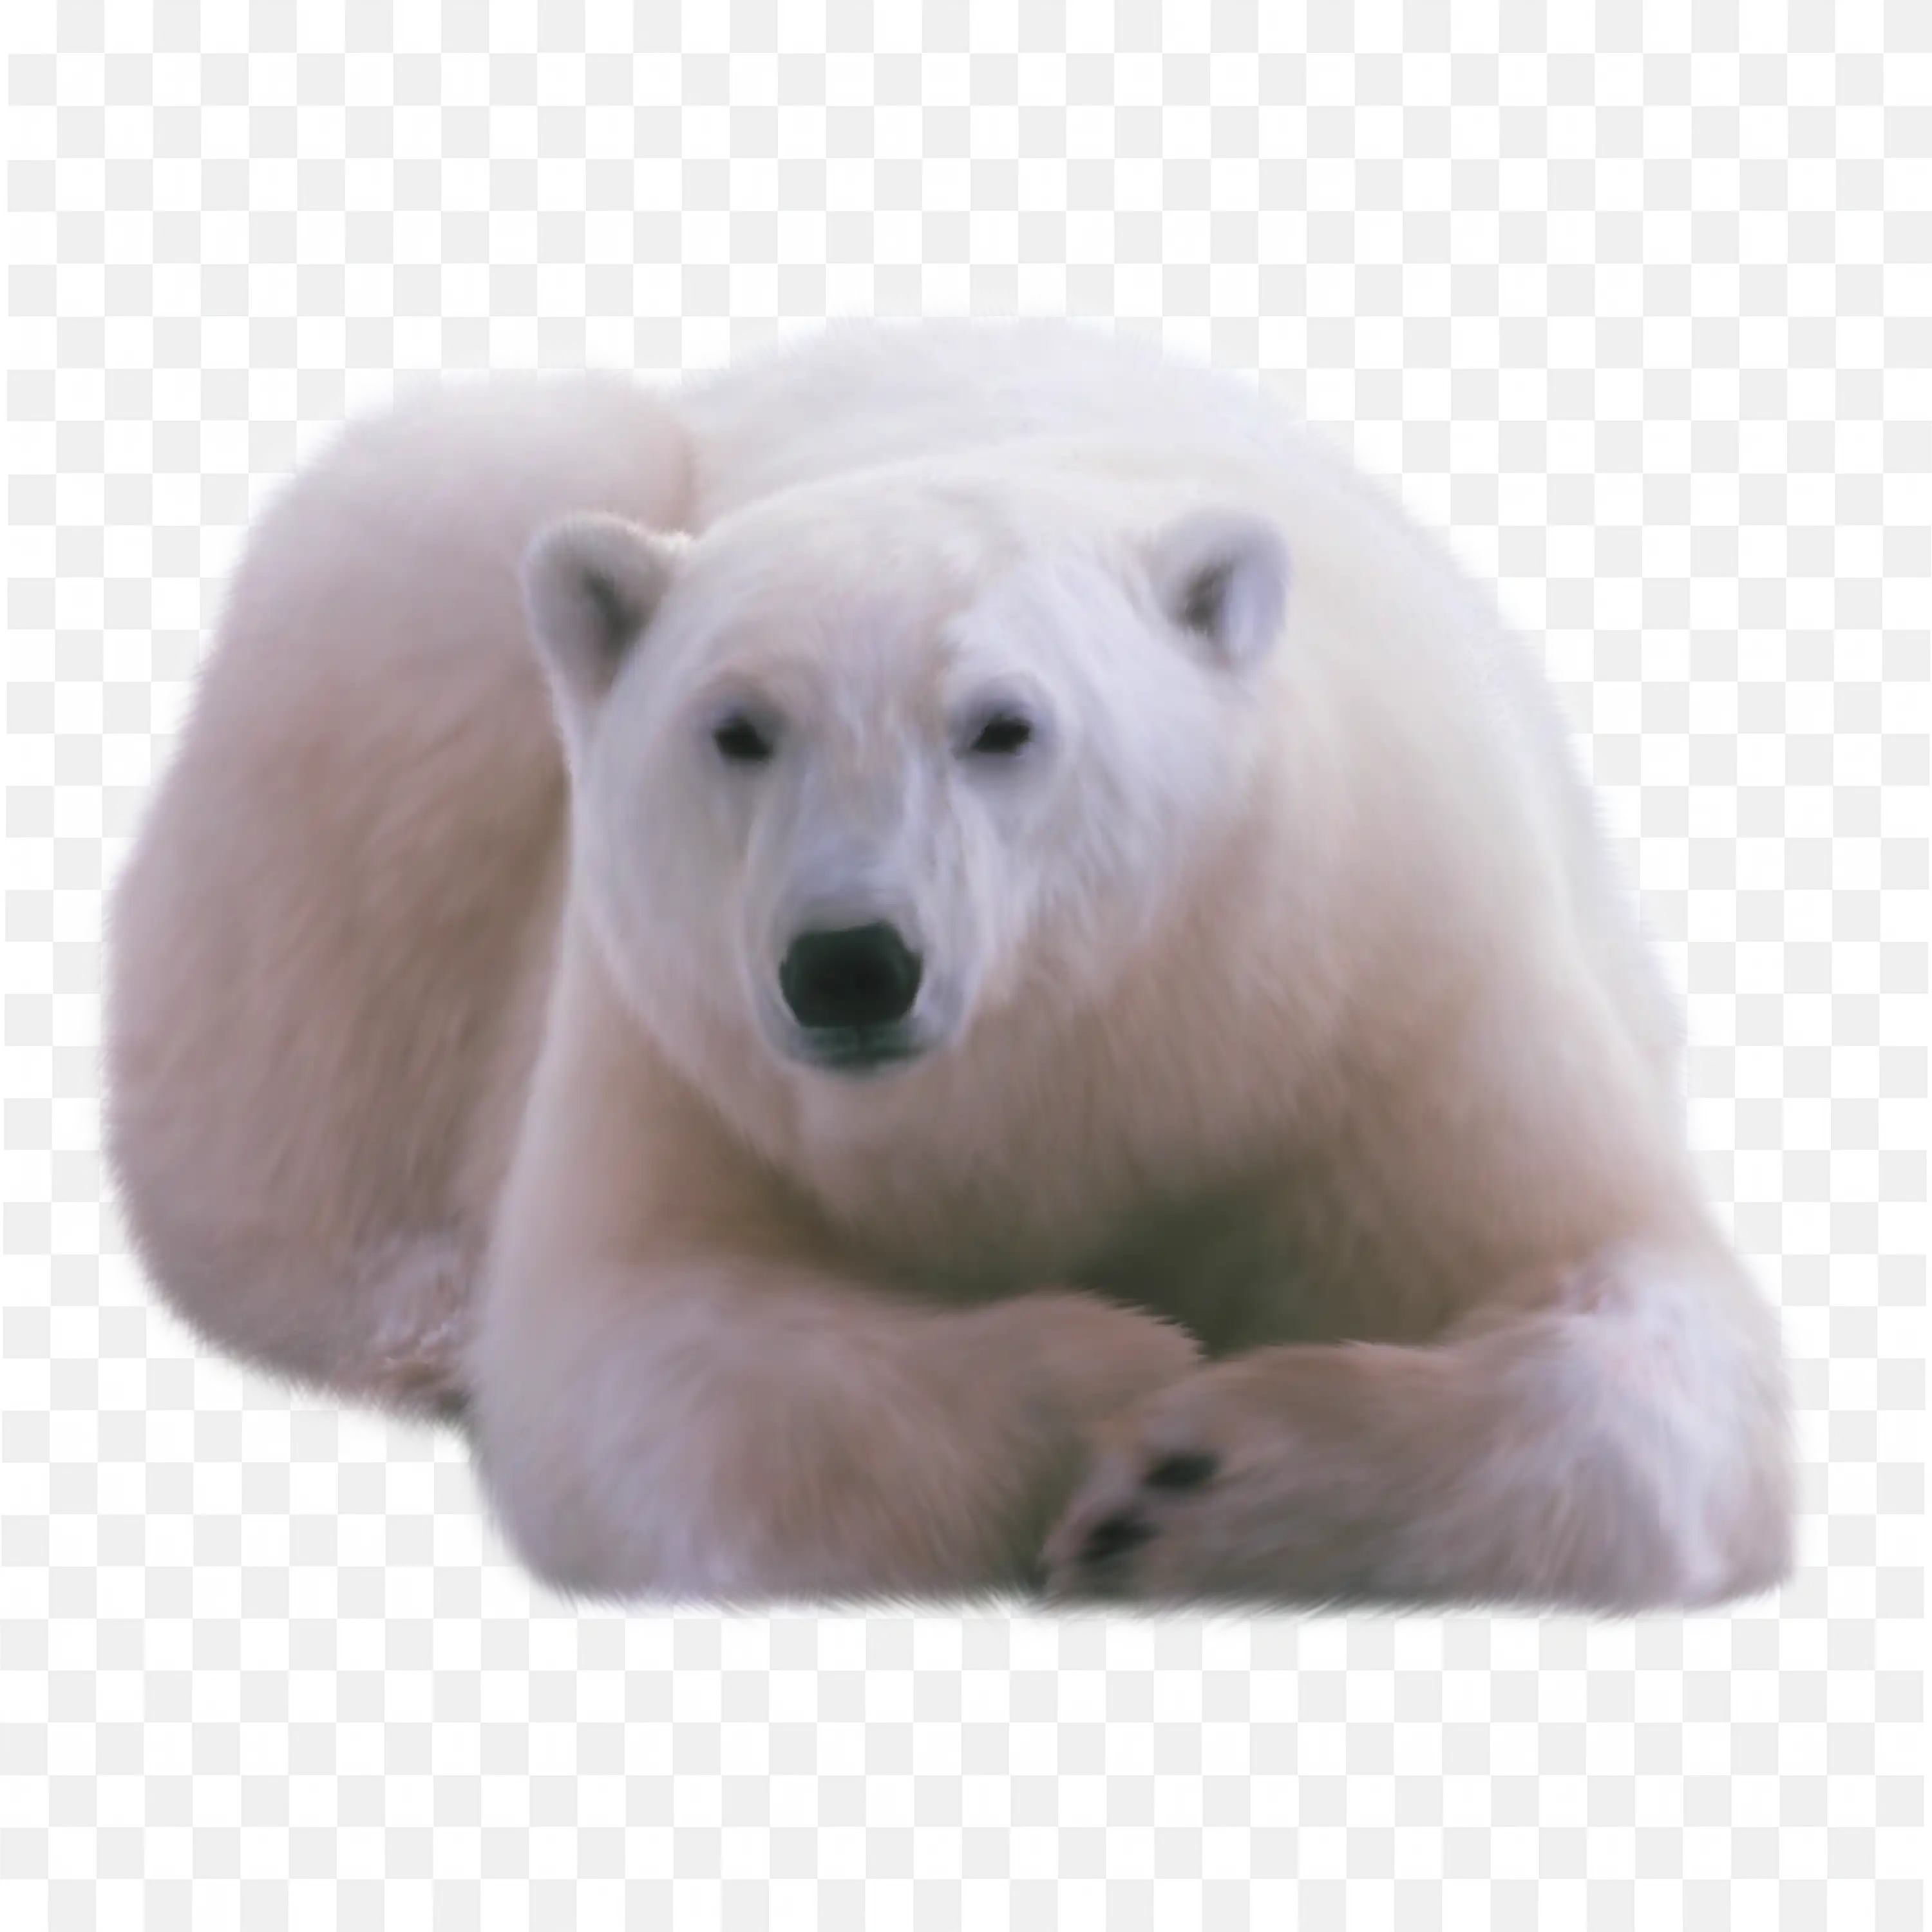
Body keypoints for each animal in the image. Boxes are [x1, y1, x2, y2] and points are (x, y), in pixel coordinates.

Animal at [100, 319, 1797, 1616]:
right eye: (738, 725)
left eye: (1003, 724)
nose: (852, 963)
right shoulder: (678, 1049)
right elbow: (650, 1365)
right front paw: (1107, 1380)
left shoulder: (1391, 989)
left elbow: (1635, 1314)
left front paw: (1194, 1481)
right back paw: (417, 1309)